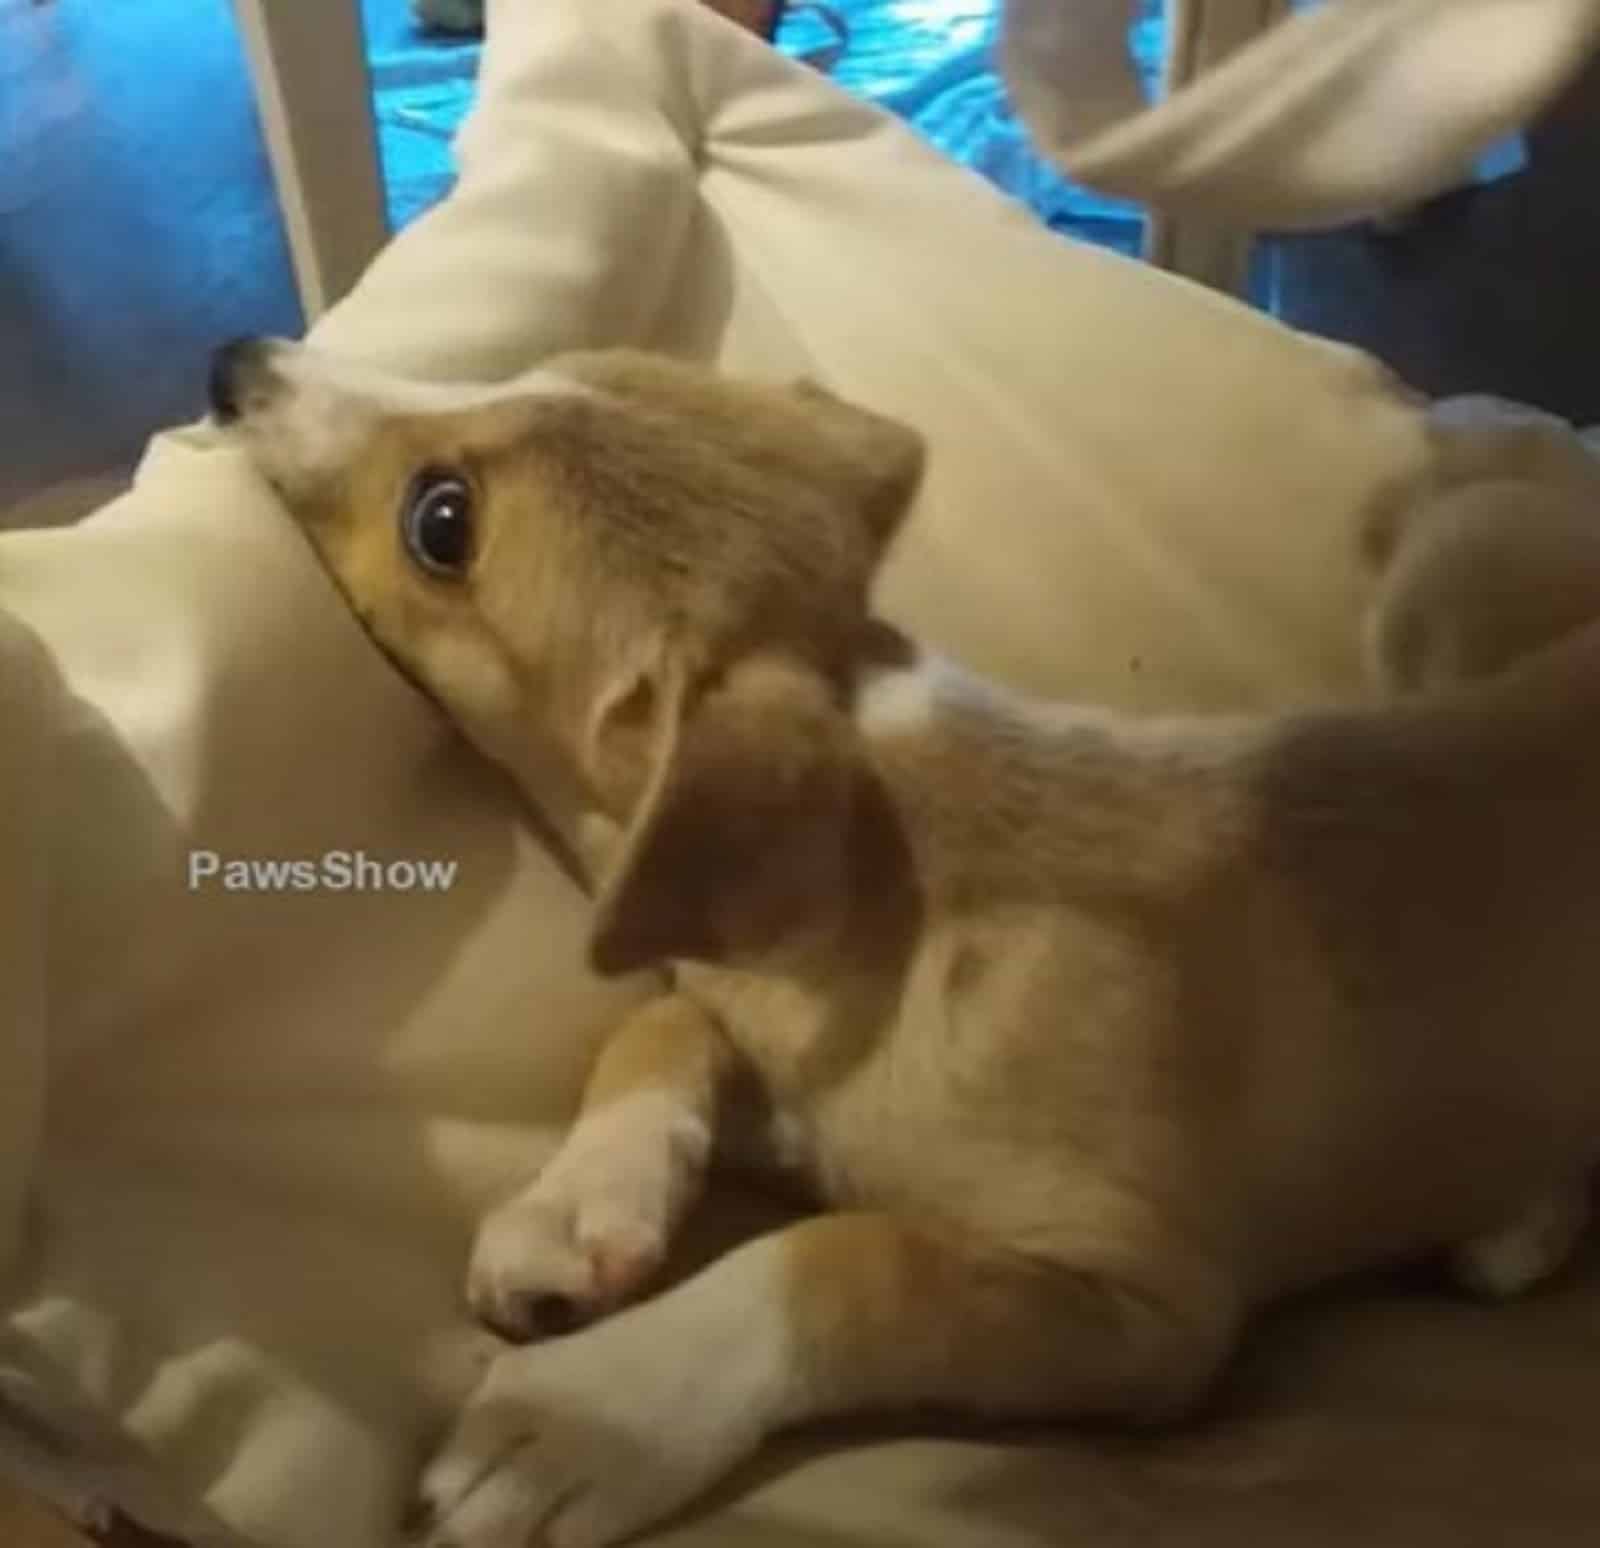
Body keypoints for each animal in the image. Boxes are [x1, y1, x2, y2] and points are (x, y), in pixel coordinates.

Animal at [206, 345, 1593, 1548]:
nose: (236, 360)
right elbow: (659, 1018)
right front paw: (579, 1202)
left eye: (441, 522)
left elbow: (847, 1255)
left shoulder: (1150, 1309)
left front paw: (597, 1410)